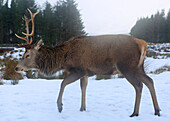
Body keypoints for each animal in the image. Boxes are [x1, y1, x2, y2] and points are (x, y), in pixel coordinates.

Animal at [14, 9, 161, 116]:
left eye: (27, 55)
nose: (16, 68)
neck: (63, 59)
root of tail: (142, 43)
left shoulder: (79, 69)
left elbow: (63, 83)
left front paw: (60, 106)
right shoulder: (85, 73)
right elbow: (83, 88)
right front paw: (82, 108)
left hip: (127, 66)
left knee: (139, 85)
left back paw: (135, 113)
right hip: (139, 66)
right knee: (149, 81)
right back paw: (157, 110)